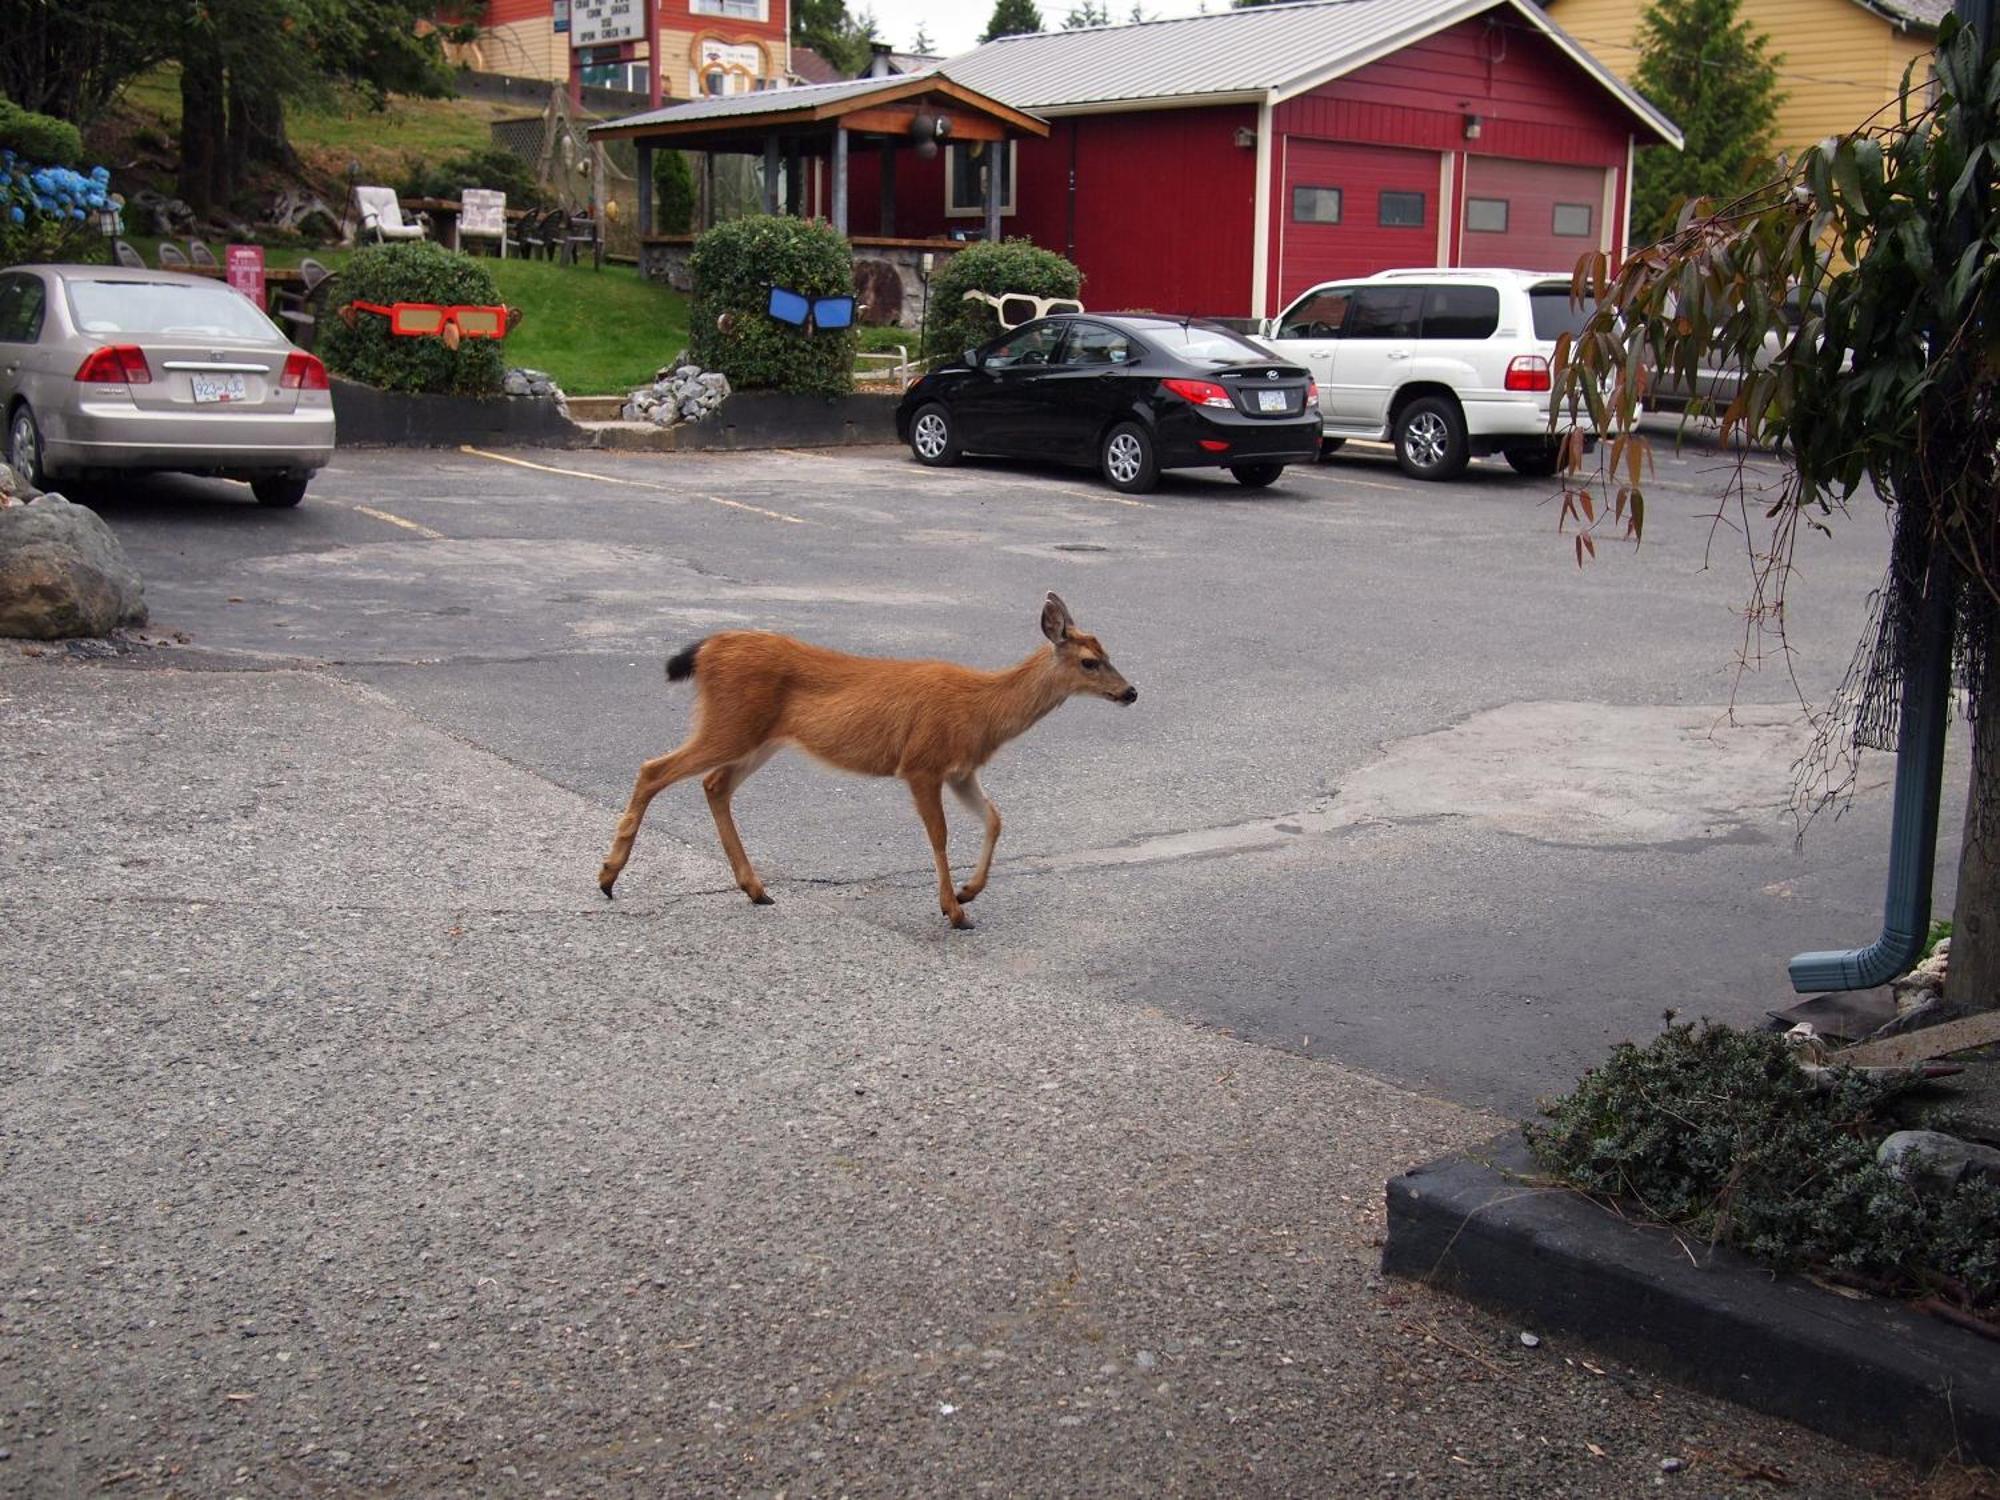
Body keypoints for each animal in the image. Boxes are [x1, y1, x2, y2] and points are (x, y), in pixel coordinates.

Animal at [596, 596, 1144, 928]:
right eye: (1090, 662)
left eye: (1109, 652)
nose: (1131, 692)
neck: (982, 709)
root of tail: (707, 648)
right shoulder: (921, 762)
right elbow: (940, 835)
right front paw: (952, 908)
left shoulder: (961, 771)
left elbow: (995, 819)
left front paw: (969, 893)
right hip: (730, 723)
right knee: (654, 769)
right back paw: (607, 877)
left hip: (760, 738)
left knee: (714, 784)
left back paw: (756, 889)